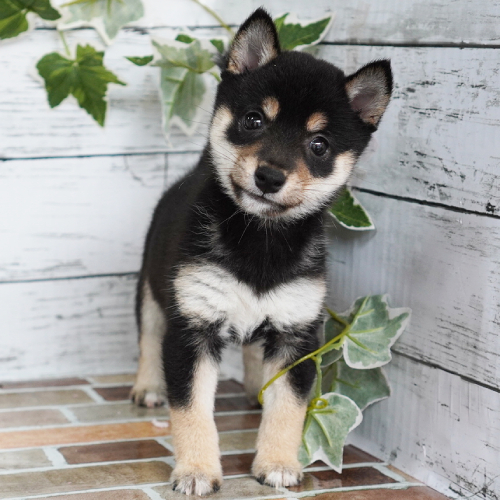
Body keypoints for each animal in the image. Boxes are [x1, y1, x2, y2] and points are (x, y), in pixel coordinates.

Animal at [131, 7, 392, 496]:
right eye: (253, 120)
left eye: (319, 145)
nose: (269, 176)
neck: (260, 239)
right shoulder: (192, 330)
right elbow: (192, 411)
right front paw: (196, 470)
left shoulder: (297, 335)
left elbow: (288, 409)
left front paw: (278, 462)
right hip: (152, 292)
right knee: (149, 338)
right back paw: (148, 386)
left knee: (254, 352)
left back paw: (256, 389)